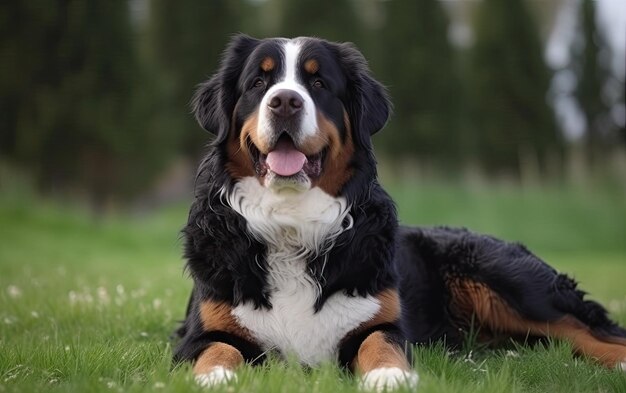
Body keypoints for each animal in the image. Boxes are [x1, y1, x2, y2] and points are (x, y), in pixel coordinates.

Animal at [172, 35, 624, 390]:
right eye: (258, 82)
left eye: (318, 82)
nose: (284, 101)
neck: (291, 223)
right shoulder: (201, 332)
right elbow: (217, 351)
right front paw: (216, 378)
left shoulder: (381, 322)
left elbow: (380, 343)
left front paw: (389, 376)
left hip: (509, 283)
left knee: (582, 330)